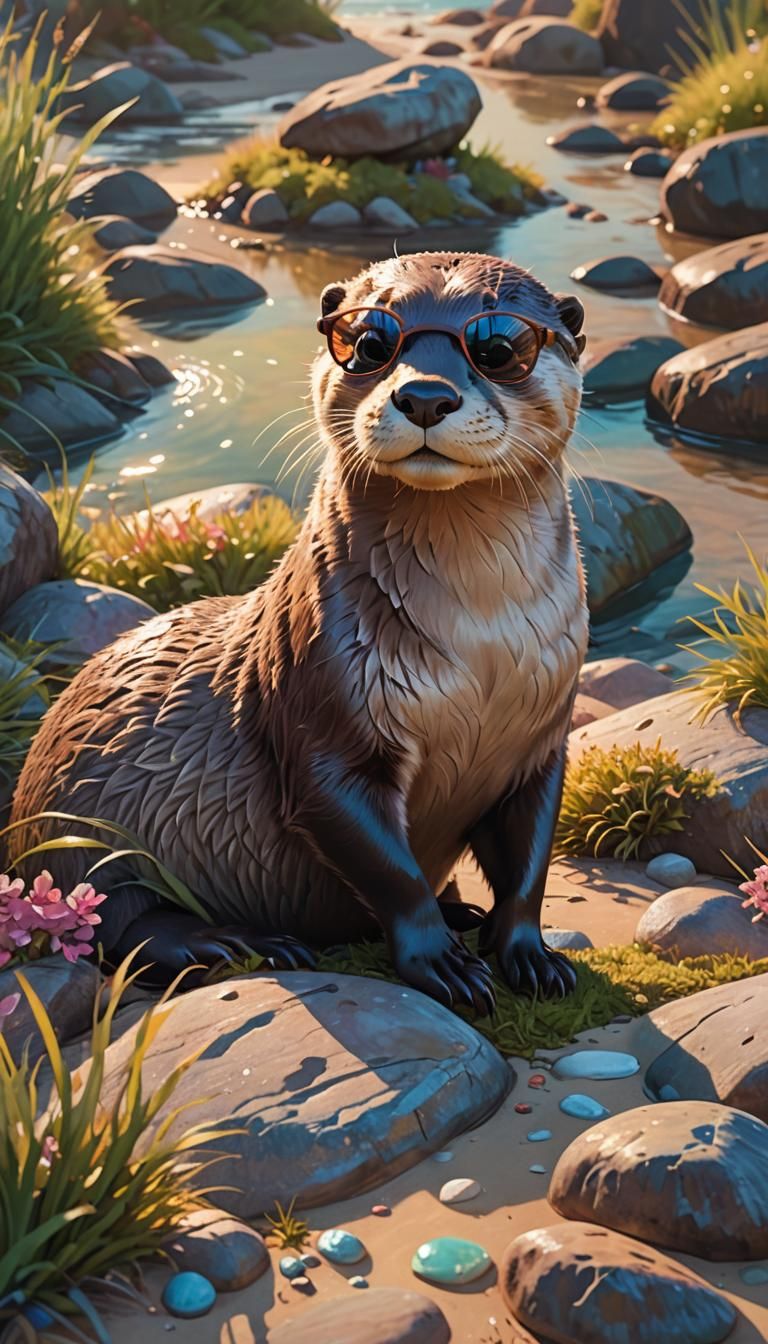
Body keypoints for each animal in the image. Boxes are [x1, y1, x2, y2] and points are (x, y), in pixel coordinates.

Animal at [12, 251, 589, 1014]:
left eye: (499, 346)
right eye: (370, 341)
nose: (424, 395)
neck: (483, 654)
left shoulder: (542, 739)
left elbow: (530, 857)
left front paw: (530, 954)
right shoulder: (322, 705)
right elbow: (381, 862)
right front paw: (442, 963)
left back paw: (459, 908)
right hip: (78, 827)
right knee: (116, 923)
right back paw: (230, 941)